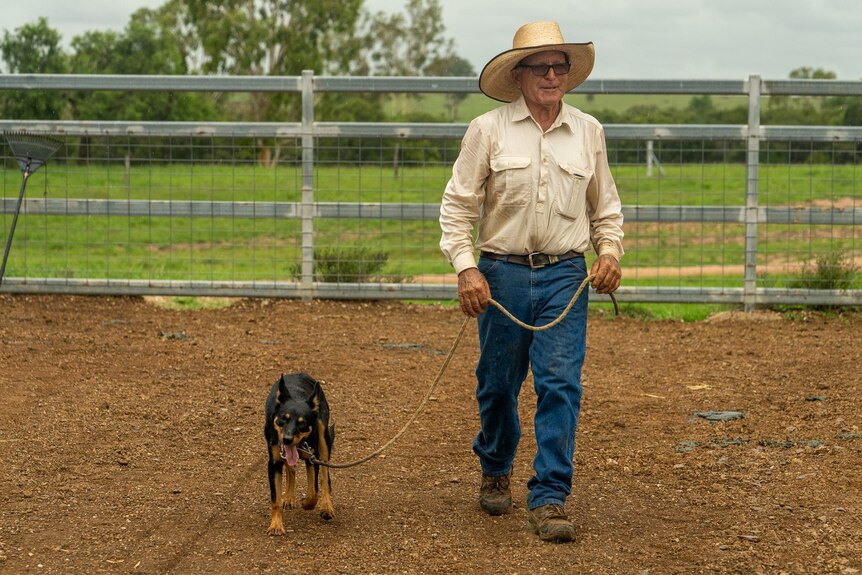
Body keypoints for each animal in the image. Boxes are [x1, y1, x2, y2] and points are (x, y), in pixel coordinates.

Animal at [264, 374, 334, 536]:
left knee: (325, 477)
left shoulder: (312, 458)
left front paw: (307, 504)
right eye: (283, 418)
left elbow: (313, 492)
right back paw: (289, 497)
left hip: (323, 437)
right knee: (292, 470)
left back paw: (327, 506)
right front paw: (276, 525)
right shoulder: (274, 464)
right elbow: (275, 500)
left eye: (302, 423)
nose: (287, 439)